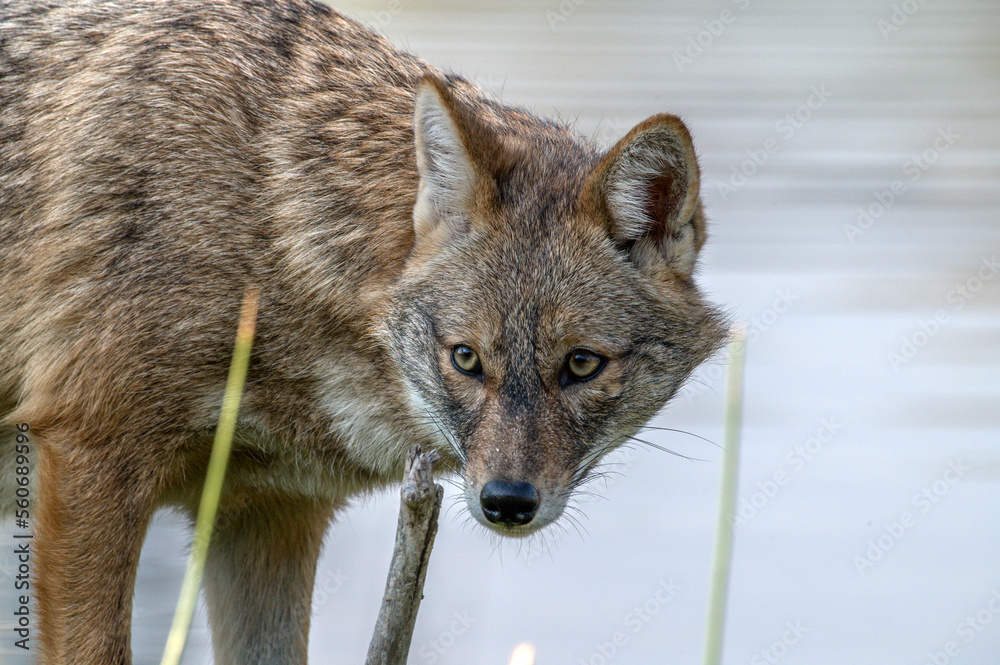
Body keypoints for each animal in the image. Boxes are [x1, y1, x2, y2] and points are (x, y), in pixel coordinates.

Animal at [0, 0, 728, 662]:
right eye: (466, 359)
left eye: (581, 365)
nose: (507, 502)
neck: (273, 222)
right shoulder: (91, 455)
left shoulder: (267, 513)